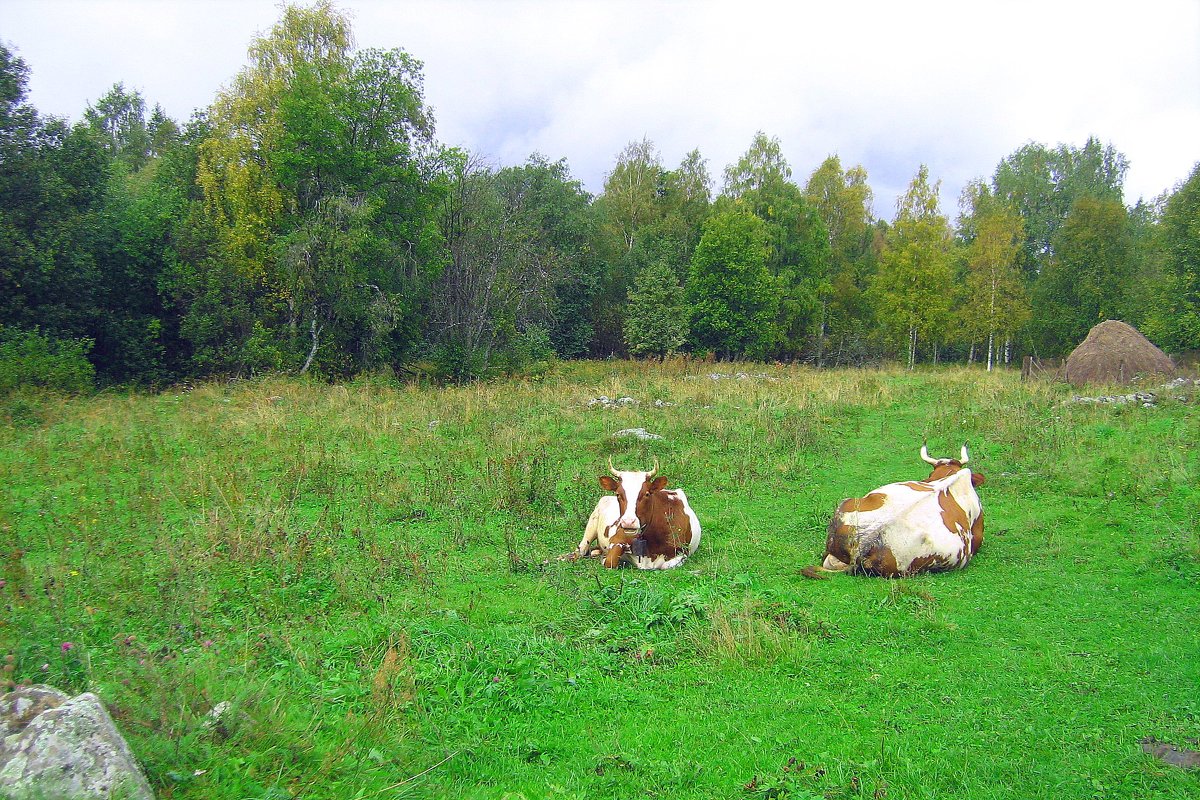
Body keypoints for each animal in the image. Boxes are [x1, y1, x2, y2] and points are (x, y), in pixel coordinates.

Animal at [566, 455, 700, 568]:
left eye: (647, 494)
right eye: (618, 494)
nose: (628, 522)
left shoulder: (681, 553)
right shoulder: (616, 540)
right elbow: (610, 561)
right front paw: (604, 558)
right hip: (592, 522)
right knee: (581, 550)